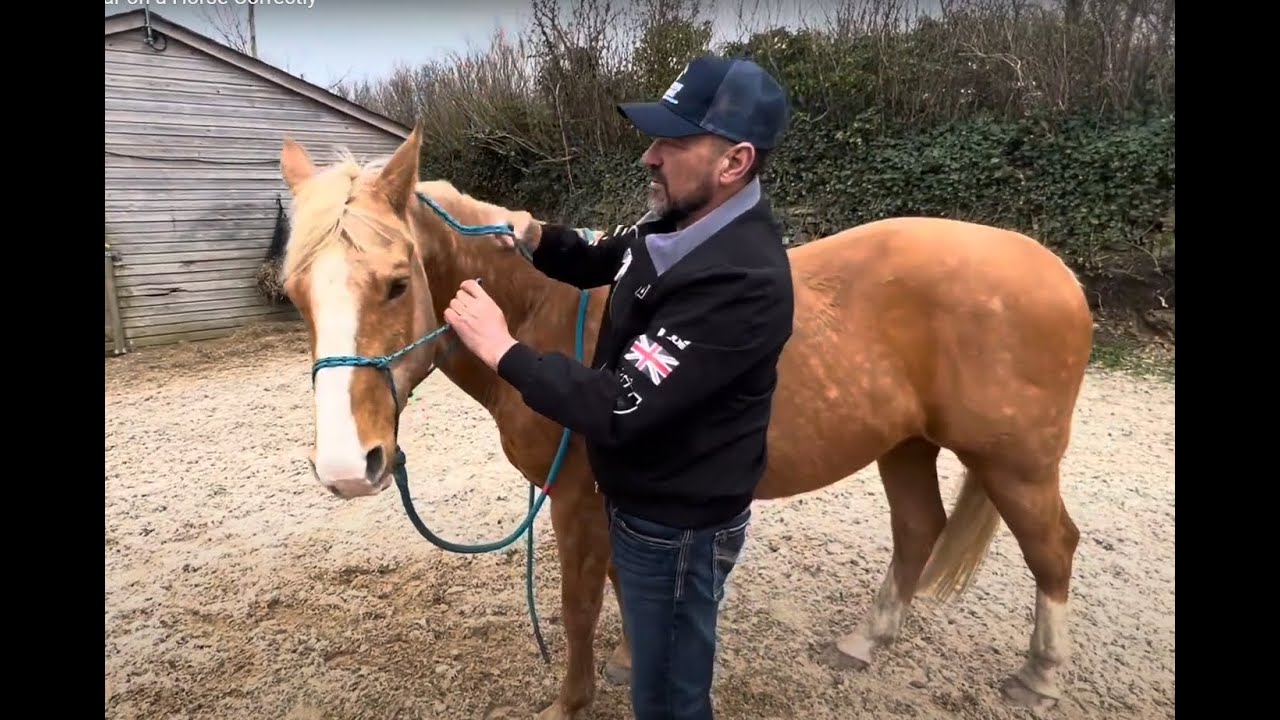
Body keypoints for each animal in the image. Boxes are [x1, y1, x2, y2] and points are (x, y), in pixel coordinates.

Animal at [276, 126, 1094, 719]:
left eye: (396, 284)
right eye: (295, 294)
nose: (348, 467)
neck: (541, 314)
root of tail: (1055, 269)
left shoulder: (577, 500)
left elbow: (580, 607)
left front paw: (572, 702)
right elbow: (622, 586)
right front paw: (632, 660)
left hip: (1015, 463)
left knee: (1053, 548)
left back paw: (1041, 676)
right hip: (907, 445)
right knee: (920, 527)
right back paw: (868, 640)